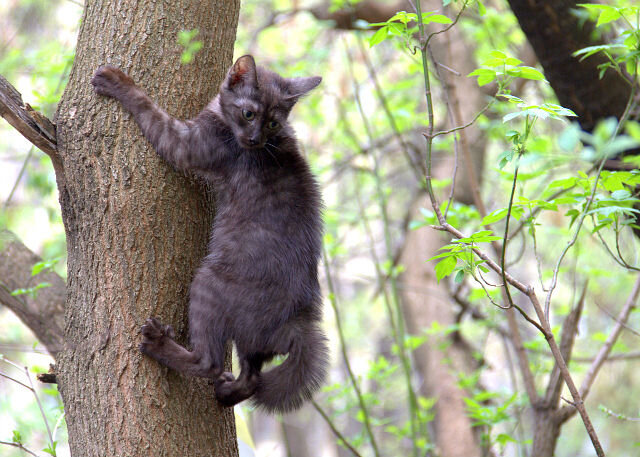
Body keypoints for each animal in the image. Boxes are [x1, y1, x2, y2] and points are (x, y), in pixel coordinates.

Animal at [91, 55, 330, 412]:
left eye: (272, 123)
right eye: (250, 114)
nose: (255, 139)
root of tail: (298, 321)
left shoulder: (184, 144)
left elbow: (150, 109)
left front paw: (116, 81)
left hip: (208, 281)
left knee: (210, 363)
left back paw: (159, 345)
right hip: (251, 344)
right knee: (251, 378)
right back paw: (225, 393)